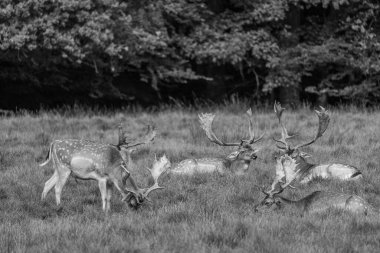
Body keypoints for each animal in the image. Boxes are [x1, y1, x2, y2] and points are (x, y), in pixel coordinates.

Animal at [39, 125, 171, 212]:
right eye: (134, 202)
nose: (134, 211)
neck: (114, 167)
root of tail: (53, 144)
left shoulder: (110, 181)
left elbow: (109, 197)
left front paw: (109, 210)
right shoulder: (101, 177)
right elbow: (103, 196)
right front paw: (103, 211)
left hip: (57, 169)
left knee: (47, 183)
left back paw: (43, 202)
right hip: (64, 168)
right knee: (57, 187)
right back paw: (59, 206)